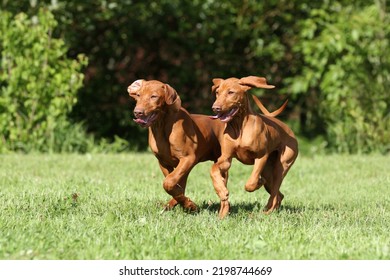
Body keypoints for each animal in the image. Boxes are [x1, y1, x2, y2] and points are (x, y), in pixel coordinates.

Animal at [128, 80, 225, 213]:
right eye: (138, 95)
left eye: (154, 96)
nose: (138, 112)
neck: (162, 126)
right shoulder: (163, 162)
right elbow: (174, 184)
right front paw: (185, 203)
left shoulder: (188, 159)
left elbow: (168, 182)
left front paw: (189, 204)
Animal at [210, 76, 298, 219]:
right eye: (217, 92)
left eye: (231, 92)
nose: (215, 108)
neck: (239, 126)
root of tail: (287, 128)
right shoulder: (226, 159)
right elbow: (213, 170)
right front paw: (221, 191)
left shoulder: (261, 156)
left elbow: (250, 183)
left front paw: (257, 183)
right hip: (268, 172)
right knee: (279, 195)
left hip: (281, 168)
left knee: (274, 195)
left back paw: (267, 212)